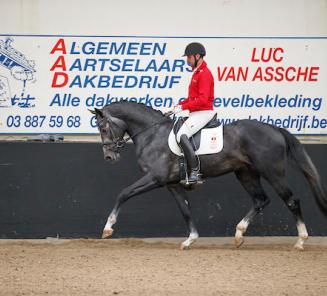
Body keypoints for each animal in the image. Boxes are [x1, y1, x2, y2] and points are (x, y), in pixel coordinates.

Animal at [89, 101, 327, 250]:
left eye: (103, 128)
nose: (109, 157)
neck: (152, 134)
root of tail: (274, 129)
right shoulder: (172, 184)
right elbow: (185, 210)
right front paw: (190, 240)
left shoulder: (155, 179)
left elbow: (123, 193)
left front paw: (108, 228)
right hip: (246, 173)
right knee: (261, 200)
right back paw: (239, 234)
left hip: (273, 173)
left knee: (291, 200)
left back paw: (301, 241)